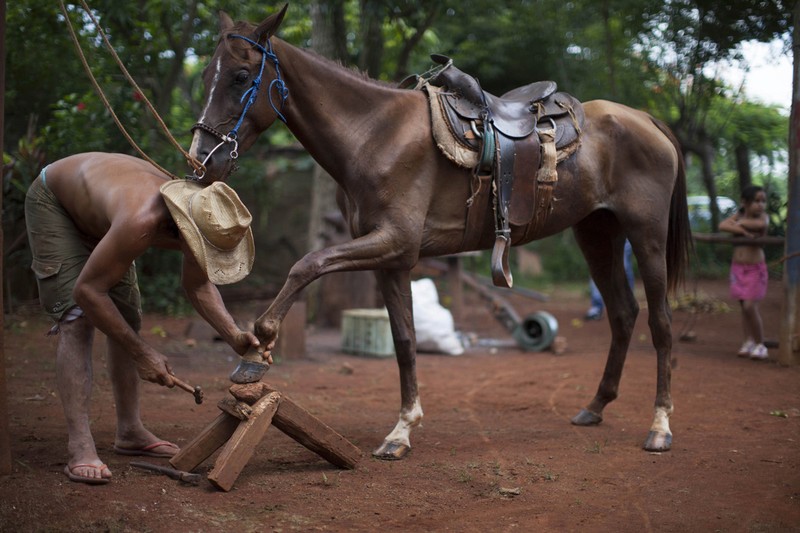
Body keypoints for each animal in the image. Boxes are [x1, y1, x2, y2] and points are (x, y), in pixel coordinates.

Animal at [191, 6, 692, 460]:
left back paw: (660, 427)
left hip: (645, 234)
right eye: (209, 76)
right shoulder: (392, 258)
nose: (201, 159)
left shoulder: (394, 241)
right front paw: (402, 430)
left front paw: (254, 353)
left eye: (240, 76)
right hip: (597, 234)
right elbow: (404, 339)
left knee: (661, 322)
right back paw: (596, 406)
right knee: (623, 314)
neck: (374, 135)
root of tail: (646, 118)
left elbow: (306, 264)